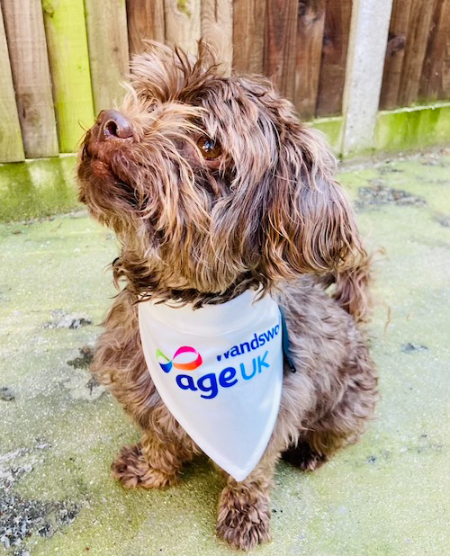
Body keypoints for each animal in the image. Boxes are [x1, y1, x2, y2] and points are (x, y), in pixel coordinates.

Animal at [76, 44, 376, 552]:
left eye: (209, 145)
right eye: (151, 99)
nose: (109, 121)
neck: (186, 302)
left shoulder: (271, 418)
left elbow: (250, 474)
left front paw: (243, 514)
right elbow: (159, 436)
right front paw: (151, 469)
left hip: (347, 404)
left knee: (330, 435)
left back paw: (311, 453)